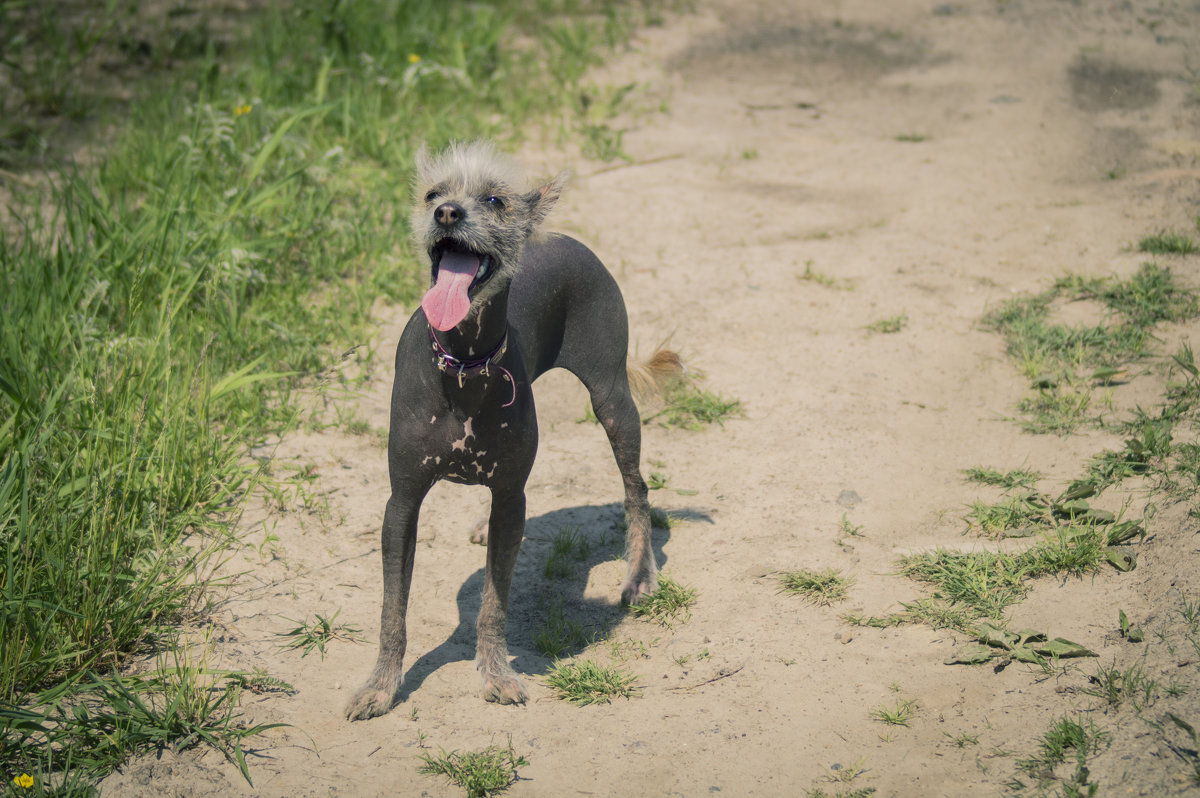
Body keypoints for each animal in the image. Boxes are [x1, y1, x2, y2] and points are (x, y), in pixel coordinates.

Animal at [348, 139, 686, 720]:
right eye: (432, 194)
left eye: (494, 199)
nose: (447, 213)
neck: (464, 364)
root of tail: (566, 238)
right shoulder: (402, 504)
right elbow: (394, 609)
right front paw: (380, 686)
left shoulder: (508, 497)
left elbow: (494, 603)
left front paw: (496, 674)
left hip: (612, 399)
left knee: (637, 488)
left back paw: (639, 574)